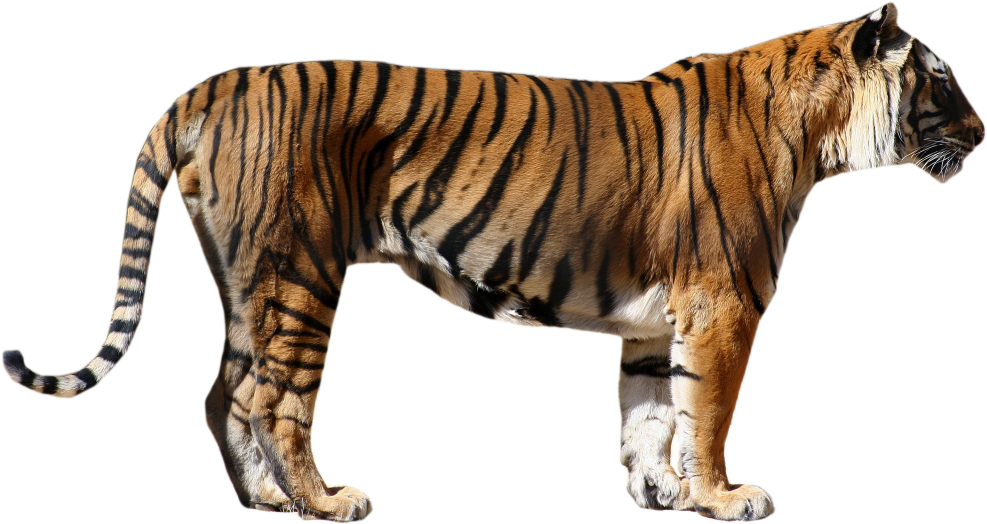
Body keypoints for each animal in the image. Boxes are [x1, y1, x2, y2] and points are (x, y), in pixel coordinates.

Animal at [2, 2, 982, 522]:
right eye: (938, 74)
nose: (982, 131)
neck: (822, 134)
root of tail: (211, 86)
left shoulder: (656, 322)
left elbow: (648, 414)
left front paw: (659, 493)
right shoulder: (723, 307)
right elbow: (705, 416)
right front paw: (721, 497)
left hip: (250, 284)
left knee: (221, 392)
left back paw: (268, 503)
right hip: (298, 280)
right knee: (273, 400)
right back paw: (326, 502)